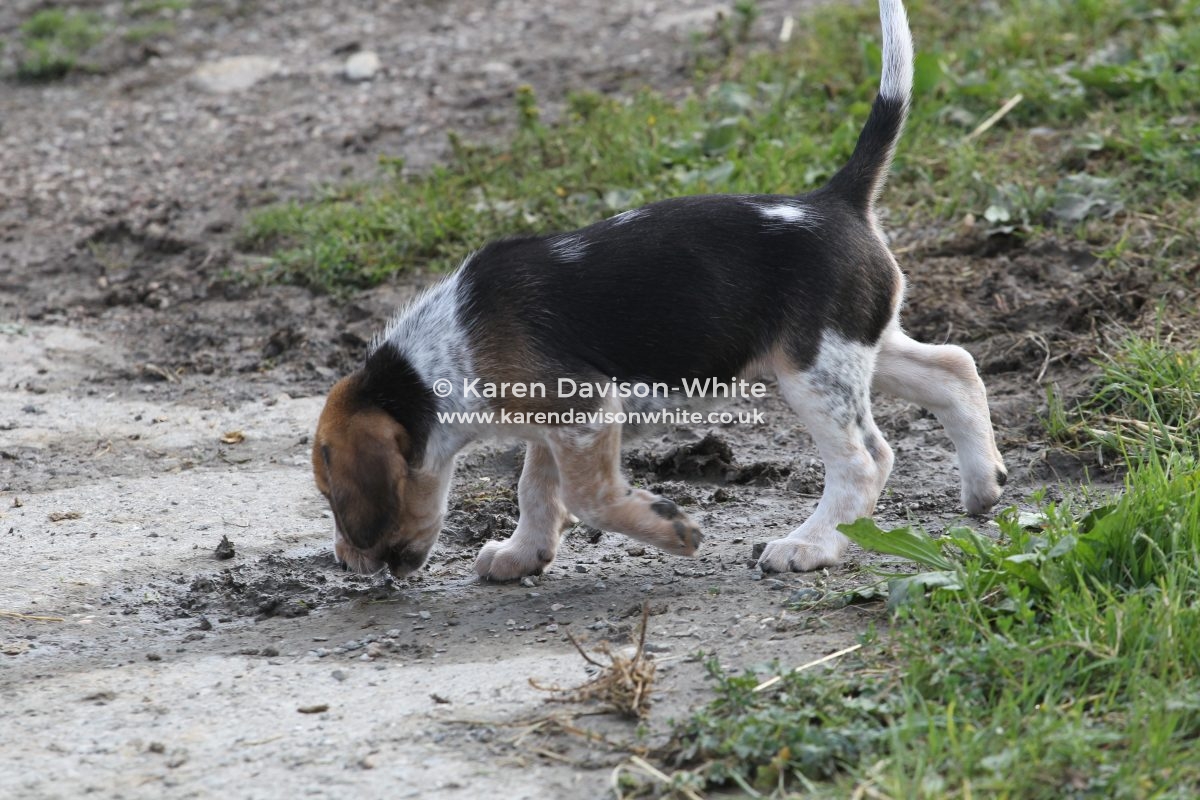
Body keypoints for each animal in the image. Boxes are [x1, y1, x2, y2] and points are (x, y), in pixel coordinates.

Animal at [311, 0, 1007, 581]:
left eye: (334, 499)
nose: (346, 564)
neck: (432, 358)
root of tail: (835, 198)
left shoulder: (584, 414)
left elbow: (590, 496)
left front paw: (671, 531)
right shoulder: (557, 426)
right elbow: (538, 489)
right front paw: (522, 554)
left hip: (815, 371)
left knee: (866, 460)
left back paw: (809, 545)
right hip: (861, 342)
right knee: (954, 369)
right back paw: (984, 486)